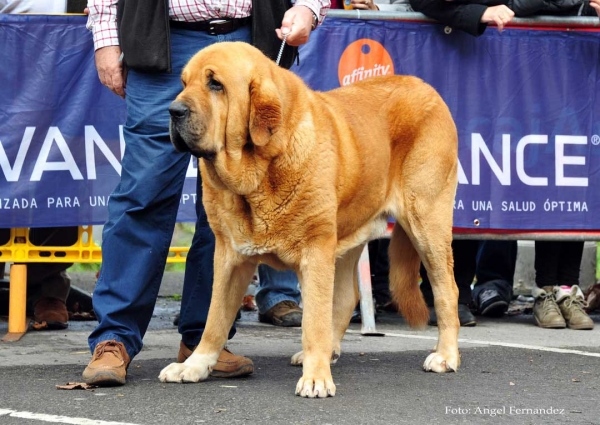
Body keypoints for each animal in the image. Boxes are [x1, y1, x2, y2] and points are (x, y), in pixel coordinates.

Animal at [158, 41, 460, 396]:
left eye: (215, 84)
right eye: (183, 83)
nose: (173, 110)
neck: (260, 172)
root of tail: (428, 89)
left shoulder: (315, 251)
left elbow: (313, 320)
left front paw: (316, 378)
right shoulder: (231, 257)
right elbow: (214, 319)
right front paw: (195, 365)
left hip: (426, 223)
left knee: (446, 290)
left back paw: (445, 355)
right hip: (348, 235)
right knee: (346, 298)